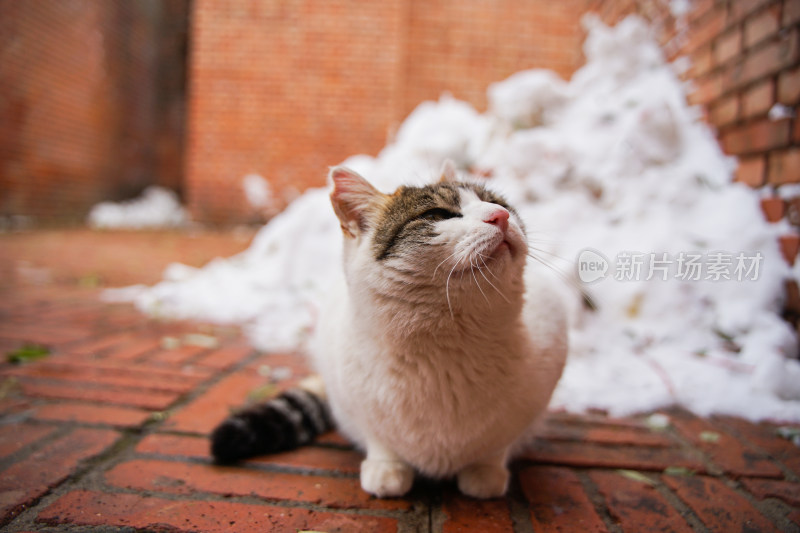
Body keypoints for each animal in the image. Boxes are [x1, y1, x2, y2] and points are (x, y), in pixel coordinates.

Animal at [209, 161, 564, 498]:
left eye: (497, 202)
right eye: (437, 214)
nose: (500, 216)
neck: (447, 345)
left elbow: (497, 443)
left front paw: (484, 471)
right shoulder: (353, 398)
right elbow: (380, 436)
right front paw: (387, 468)